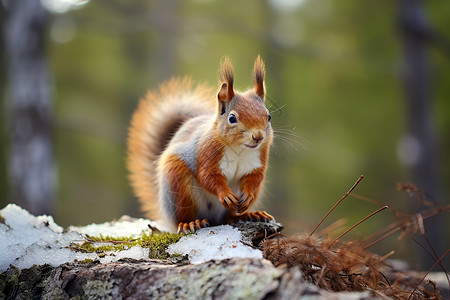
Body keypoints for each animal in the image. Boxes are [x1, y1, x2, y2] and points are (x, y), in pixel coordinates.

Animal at [126, 56, 274, 234]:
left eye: (269, 116)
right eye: (232, 118)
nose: (258, 137)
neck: (240, 149)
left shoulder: (259, 159)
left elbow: (255, 177)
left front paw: (249, 195)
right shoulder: (207, 152)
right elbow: (208, 177)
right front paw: (225, 194)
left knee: (228, 217)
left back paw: (249, 215)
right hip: (178, 185)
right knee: (182, 217)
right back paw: (190, 223)